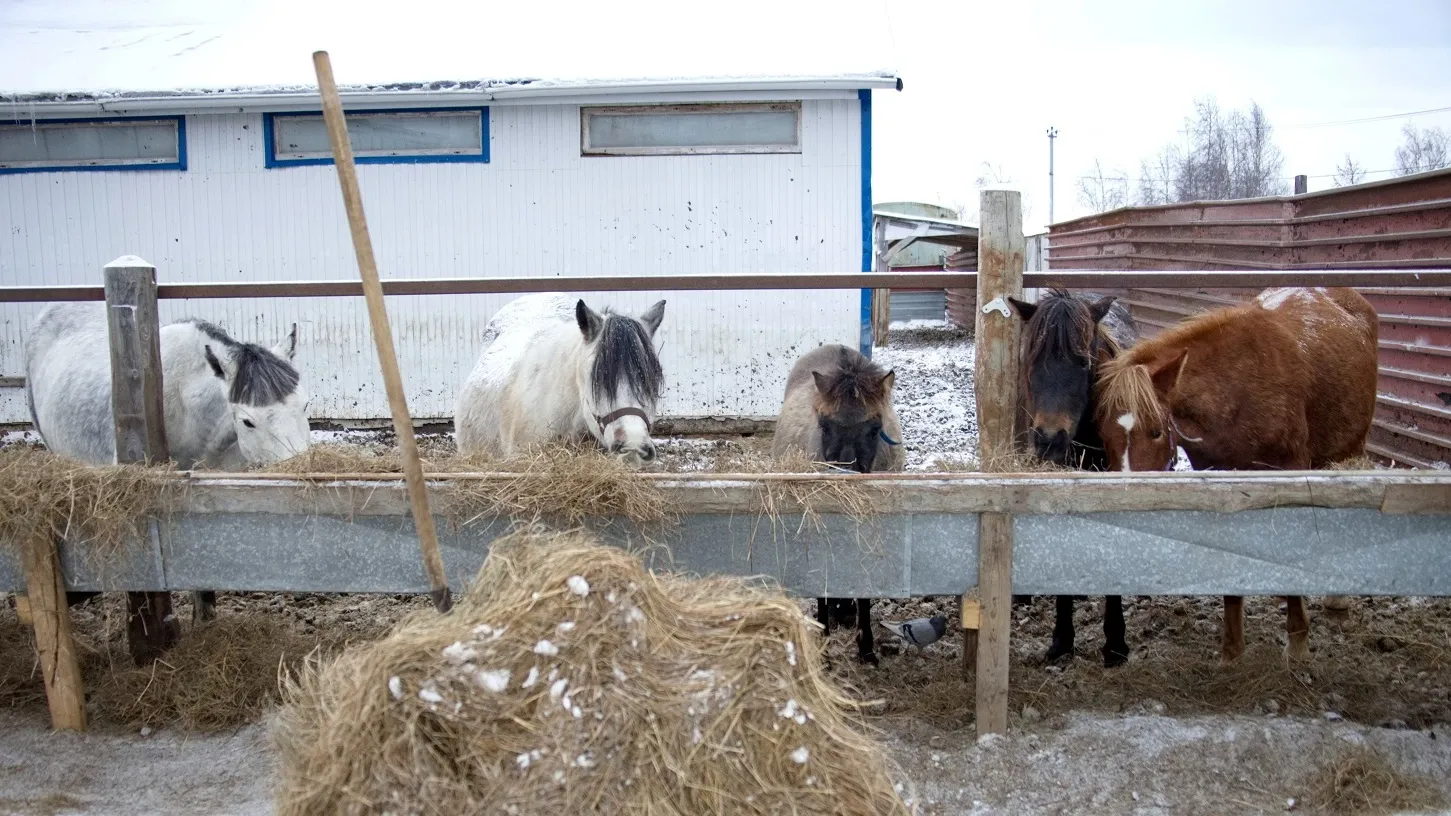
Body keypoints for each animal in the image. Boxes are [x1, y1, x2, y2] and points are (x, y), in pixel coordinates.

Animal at [1096, 286, 1381, 662]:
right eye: (1103, 434)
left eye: (1156, 431)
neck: (1238, 390)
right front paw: (1232, 651)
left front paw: (1298, 645)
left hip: (1351, 450)